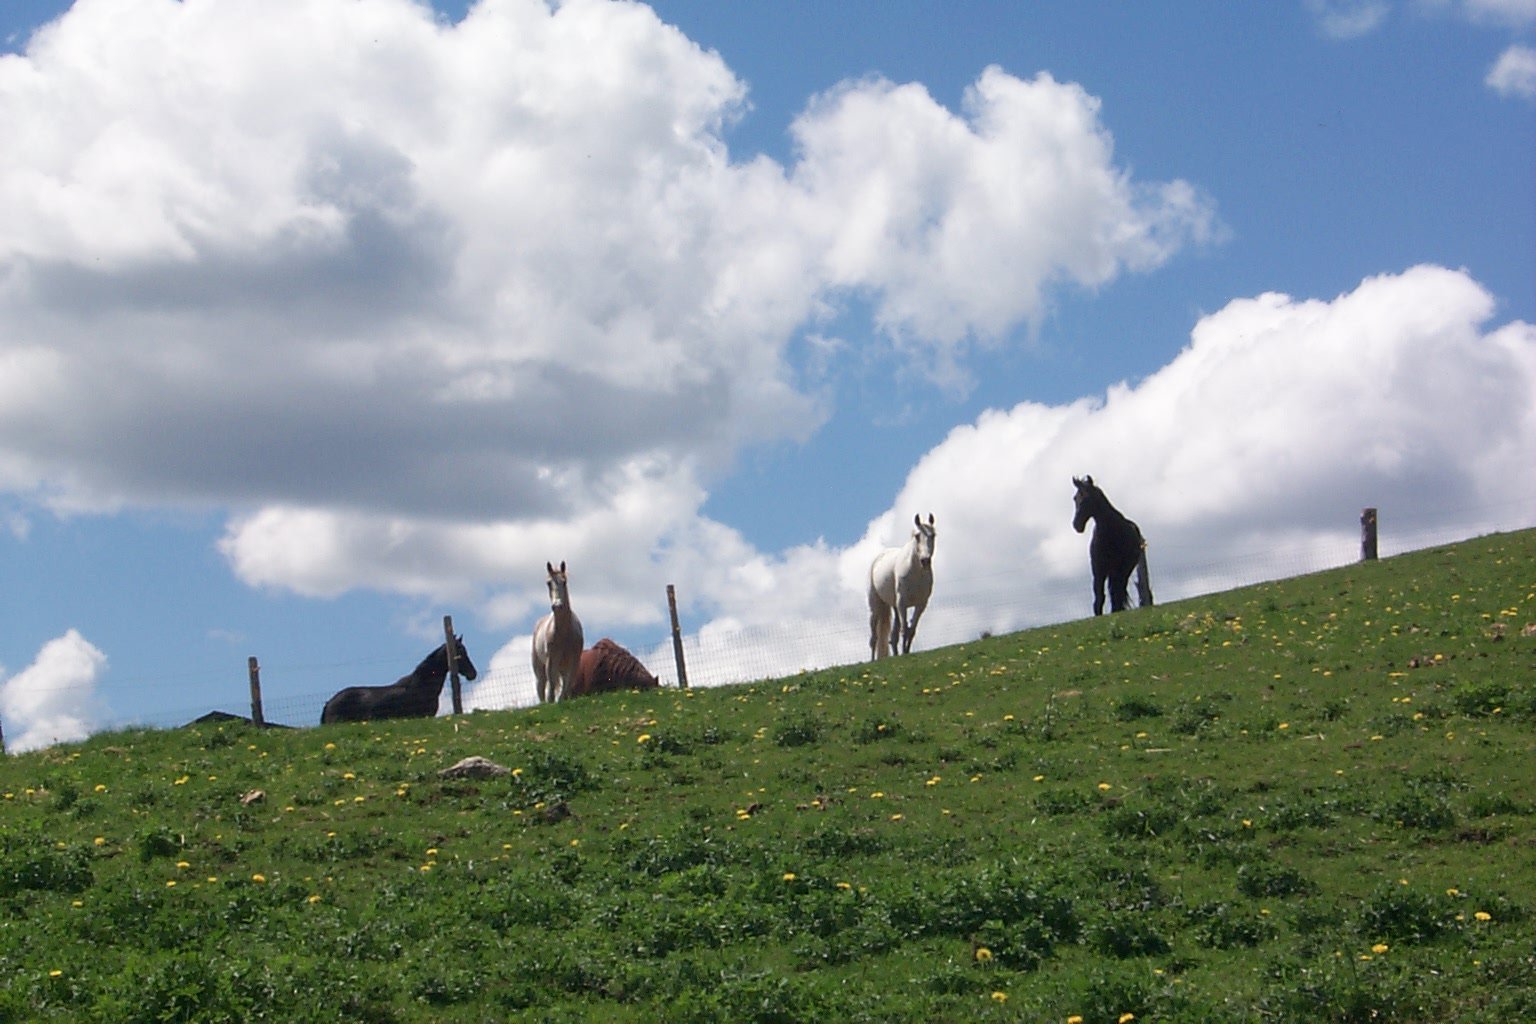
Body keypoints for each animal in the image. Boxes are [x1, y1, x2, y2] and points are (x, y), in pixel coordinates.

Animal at [531, 561, 583, 706]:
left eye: (564, 582)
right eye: (548, 583)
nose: (557, 606)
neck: (564, 633)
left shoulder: (574, 660)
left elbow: (567, 686)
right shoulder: (551, 660)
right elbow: (552, 687)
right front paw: (552, 702)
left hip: (562, 666)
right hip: (540, 668)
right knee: (542, 686)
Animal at [866, 515, 933, 660]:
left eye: (933, 535)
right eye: (917, 536)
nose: (925, 560)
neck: (915, 572)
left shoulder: (921, 605)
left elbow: (911, 630)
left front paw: (906, 651)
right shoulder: (902, 603)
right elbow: (904, 630)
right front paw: (904, 653)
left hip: (895, 607)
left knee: (893, 636)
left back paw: (896, 653)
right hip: (876, 607)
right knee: (874, 637)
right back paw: (873, 660)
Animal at [1069, 475, 1155, 617]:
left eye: (1086, 497)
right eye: (1075, 498)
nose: (1076, 525)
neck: (1110, 532)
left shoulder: (1121, 568)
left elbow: (1116, 593)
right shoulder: (1098, 568)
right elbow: (1099, 595)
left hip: (1124, 570)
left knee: (1118, 591)